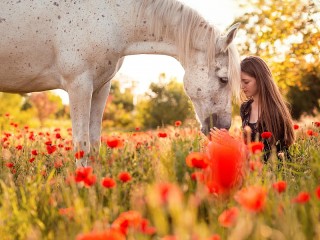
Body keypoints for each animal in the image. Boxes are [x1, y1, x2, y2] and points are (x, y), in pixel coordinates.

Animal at [0, 0, 240, 167]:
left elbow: (94, 142)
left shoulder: (99, 88)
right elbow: (81, 143)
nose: (223, 127)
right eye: (224, 79)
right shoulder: (79, 86)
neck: (111, 17)